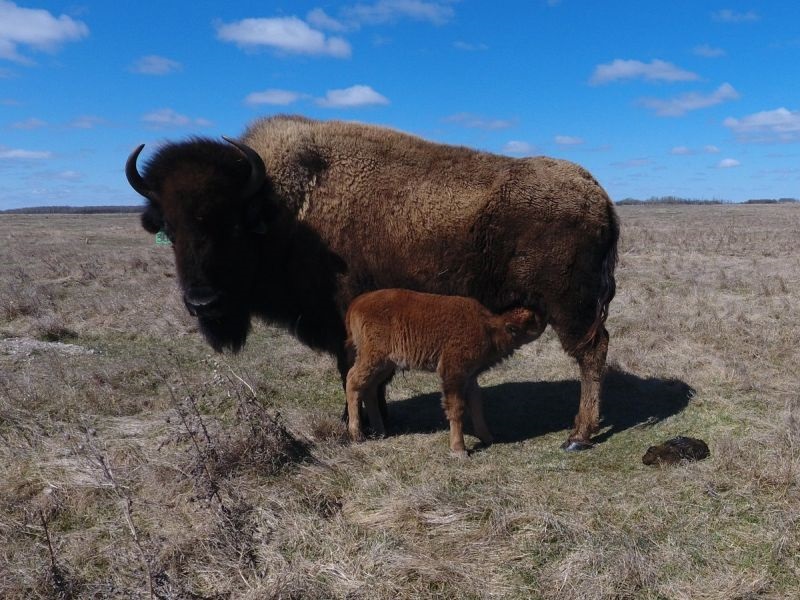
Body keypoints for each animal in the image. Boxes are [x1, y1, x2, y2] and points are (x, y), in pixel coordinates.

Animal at [340, 288, 548, 458]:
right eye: (531, 320)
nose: (544, 315)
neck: (488, 327)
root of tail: (356, 303)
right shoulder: (453, 373)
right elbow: (456, 407)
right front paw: (459, 450)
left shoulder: (469, 377)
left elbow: (476, 403)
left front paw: (488, 437)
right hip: (373, 358)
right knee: (353, 381)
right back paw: (357, 434)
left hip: (385, 365)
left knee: (369, 388)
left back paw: (380, 432)